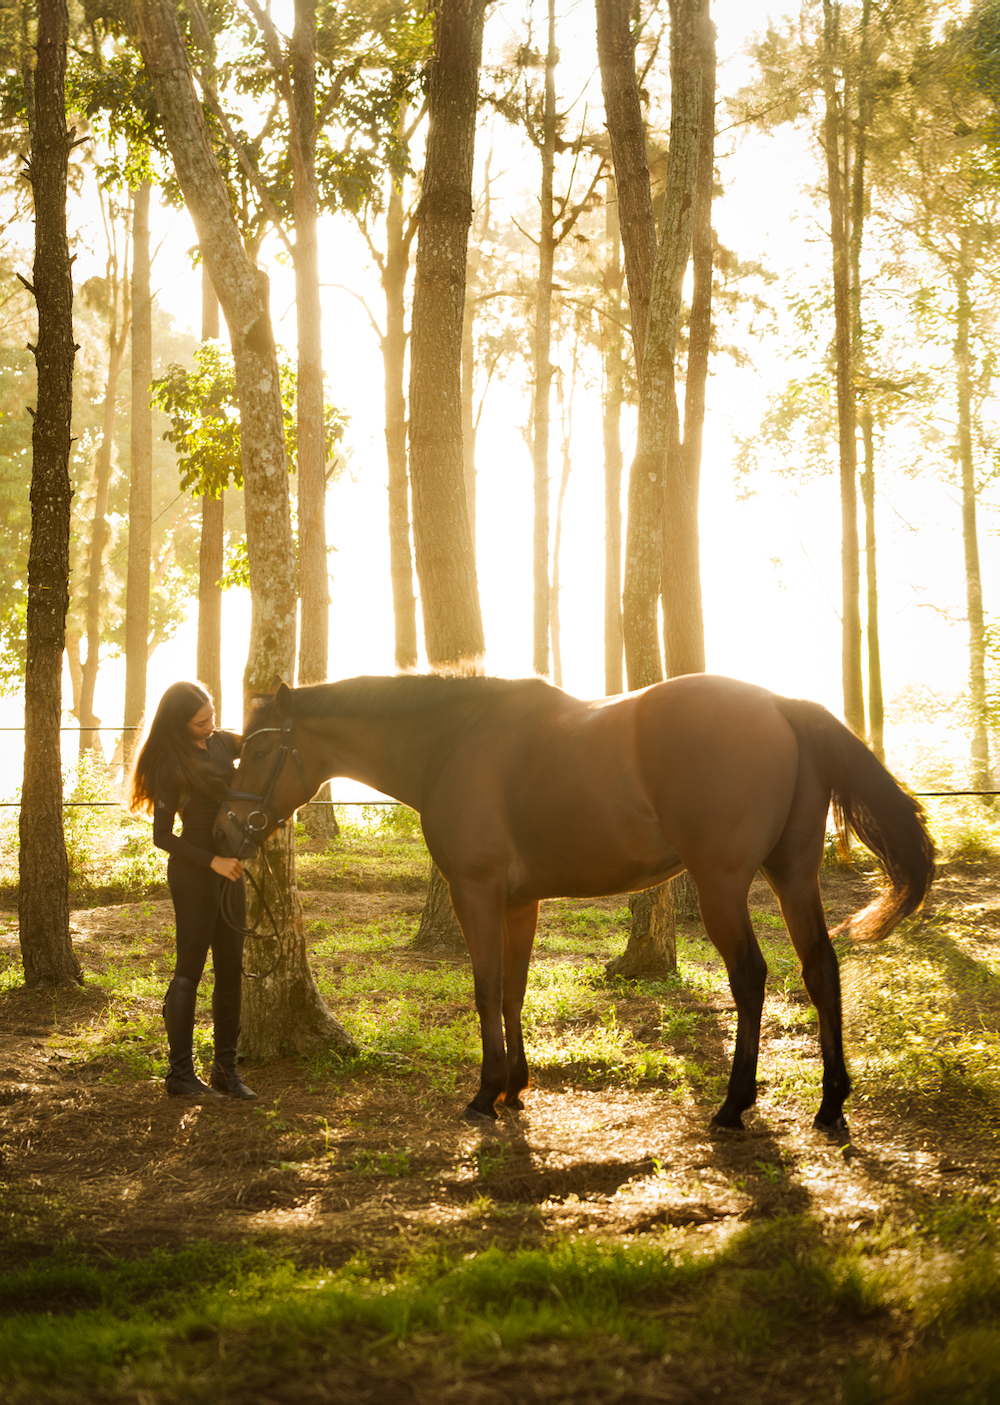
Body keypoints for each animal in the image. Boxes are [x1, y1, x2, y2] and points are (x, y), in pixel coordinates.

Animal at [214, 672, 935, 1136]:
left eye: (259, 747)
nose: (226, 830)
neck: (453, 742)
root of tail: (782, 705)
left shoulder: (476, 891)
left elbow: (484, 988)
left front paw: (484, 1092)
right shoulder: (518, 902)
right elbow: (511, 990)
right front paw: (515, 1085)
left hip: (724, 881)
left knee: (752, 977)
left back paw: (734, 1106)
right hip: (792, 874)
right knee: (820, 969)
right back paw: (831, 1105)